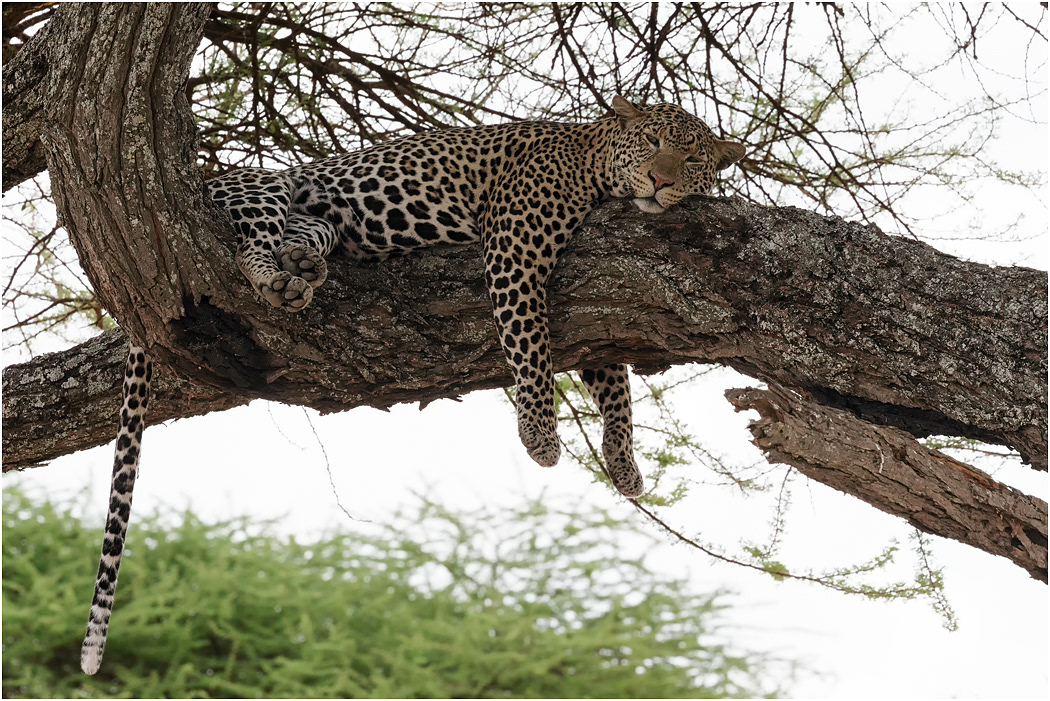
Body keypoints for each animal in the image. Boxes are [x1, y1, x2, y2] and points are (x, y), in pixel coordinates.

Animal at [80, 96, 746, 674]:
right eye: (653, 143)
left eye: (691, 159)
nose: (659, 182)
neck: (594, 161)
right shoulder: (516, 247)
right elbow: (529, 343)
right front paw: (538, 434)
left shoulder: (597, 321)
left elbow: (613, 383)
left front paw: (623, 462)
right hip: (260, 190)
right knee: (248, 249)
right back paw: (280, 277)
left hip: (316, 221)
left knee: (302, 235)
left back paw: (304, 263)